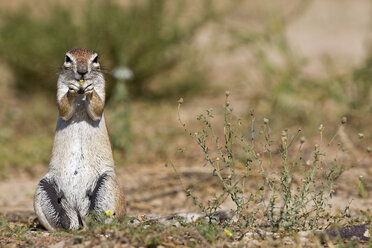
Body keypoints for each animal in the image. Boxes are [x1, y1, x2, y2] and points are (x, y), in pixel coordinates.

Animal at [34, 48, 126, 231]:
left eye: (95, 58)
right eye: (67, 58)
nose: (82, 71)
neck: (81, 96)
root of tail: (78, 211)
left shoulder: (102, 86)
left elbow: (98, 107)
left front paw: (90, 89)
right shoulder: (60, 85)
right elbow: (63, 108)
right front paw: (71, 91)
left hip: (107, 184)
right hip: (41, 189)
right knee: (67, 224)